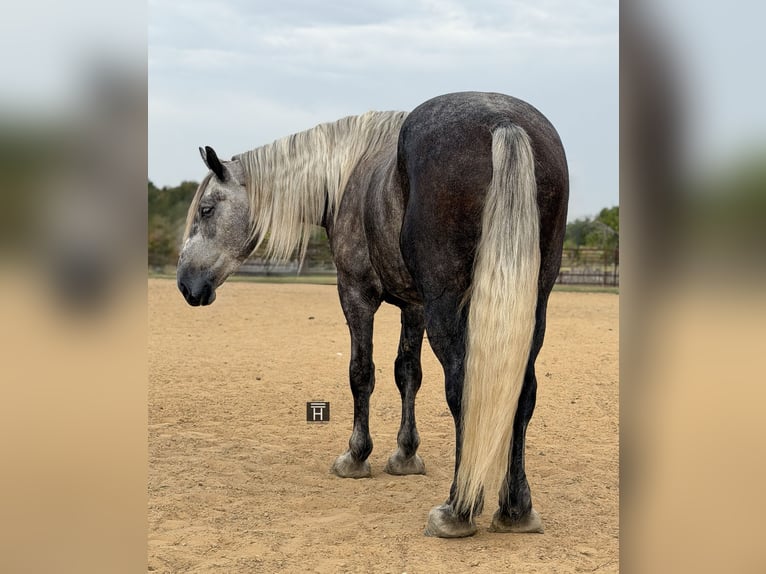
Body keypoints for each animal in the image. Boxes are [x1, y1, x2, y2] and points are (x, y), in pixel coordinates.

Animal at [176, 91, 569, 538]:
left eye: (206, 210)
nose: (186, 284)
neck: (350, 172)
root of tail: (503, 121)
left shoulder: (356, 293)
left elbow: (361, 373)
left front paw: (357, 456)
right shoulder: (414, 306)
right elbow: (408, 373)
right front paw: (405, 455)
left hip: (449, 306)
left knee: (463, 388)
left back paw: (457, 510)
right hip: (532, 305)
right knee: (522, 391)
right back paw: (515, 509)